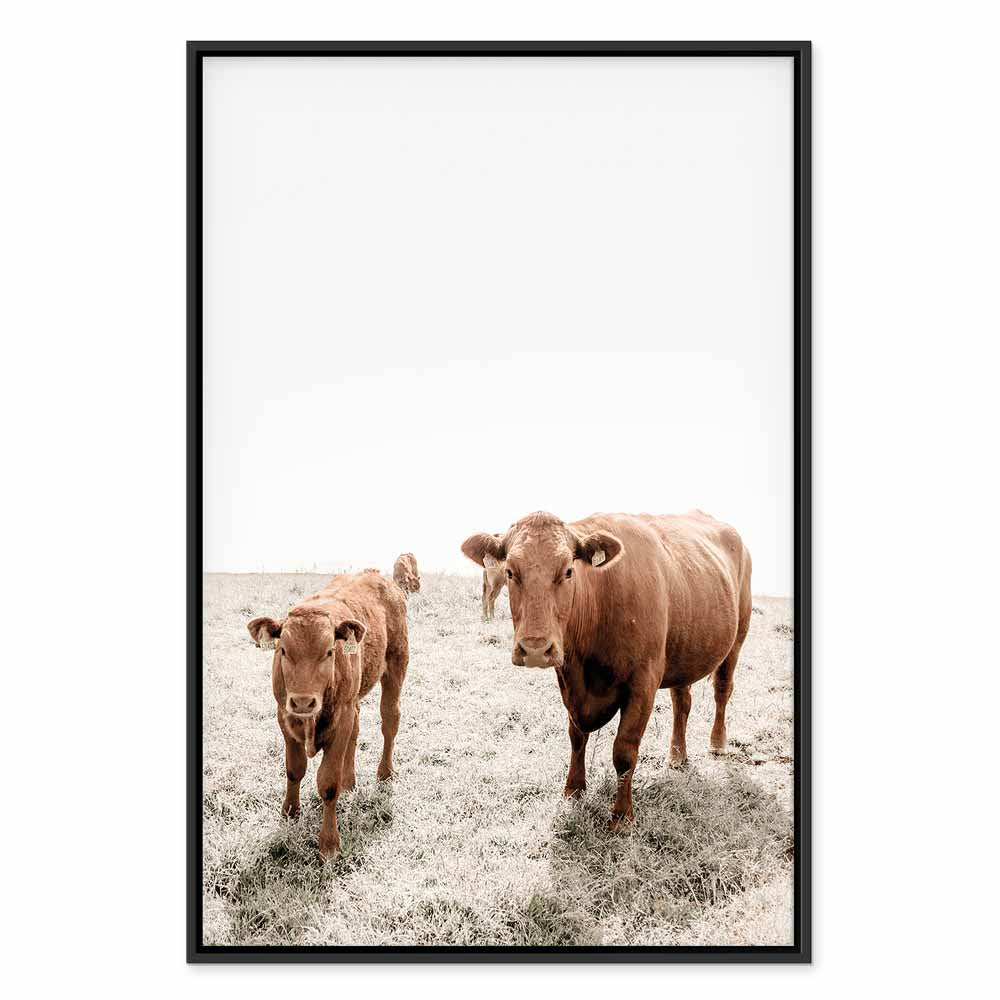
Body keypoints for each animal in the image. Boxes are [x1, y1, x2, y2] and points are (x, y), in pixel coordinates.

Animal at [247, 571, 409, 859]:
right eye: (283, 650)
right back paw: (349, 781)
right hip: (354, 698)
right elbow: (294, 769)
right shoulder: (284, 715)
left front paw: (329, 844)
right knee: (356, 731)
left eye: (329, 651)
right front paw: (290, 812)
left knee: (390, 721)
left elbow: (328, 784)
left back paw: (385, 772)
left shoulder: (340, 719)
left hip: (396, 666)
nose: (303, 701)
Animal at [461, 510, 751, 830]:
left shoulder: (643, 685)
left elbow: (624, 751)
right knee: (682, 703)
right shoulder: (570, 685)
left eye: (568, 571)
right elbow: (576, 737)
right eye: (511, 571)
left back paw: (717, 743)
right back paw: (677, 756)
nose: (535, 648)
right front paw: (573, 790)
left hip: (737, 638)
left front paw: (622, 816)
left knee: (722, 690)